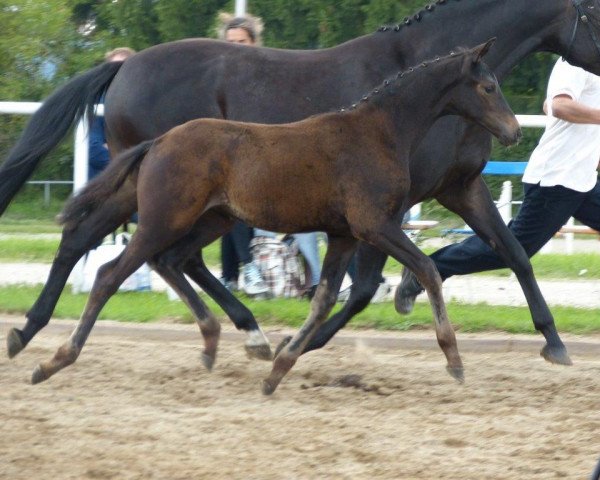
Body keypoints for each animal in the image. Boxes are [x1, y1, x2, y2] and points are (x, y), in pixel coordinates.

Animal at [38, 42, 520, 390]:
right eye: (488, 87)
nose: (514, 131)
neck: (380, 131)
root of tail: (158, 142)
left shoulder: (345, 234)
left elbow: (325, 298)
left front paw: (280, 366)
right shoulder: (375, 225)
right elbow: (426, 269)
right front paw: (453, 359)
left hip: (211, 219)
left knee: (169, 261)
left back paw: (217, 341)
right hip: (163, 219)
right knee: (110, 273)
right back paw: (54, 359)